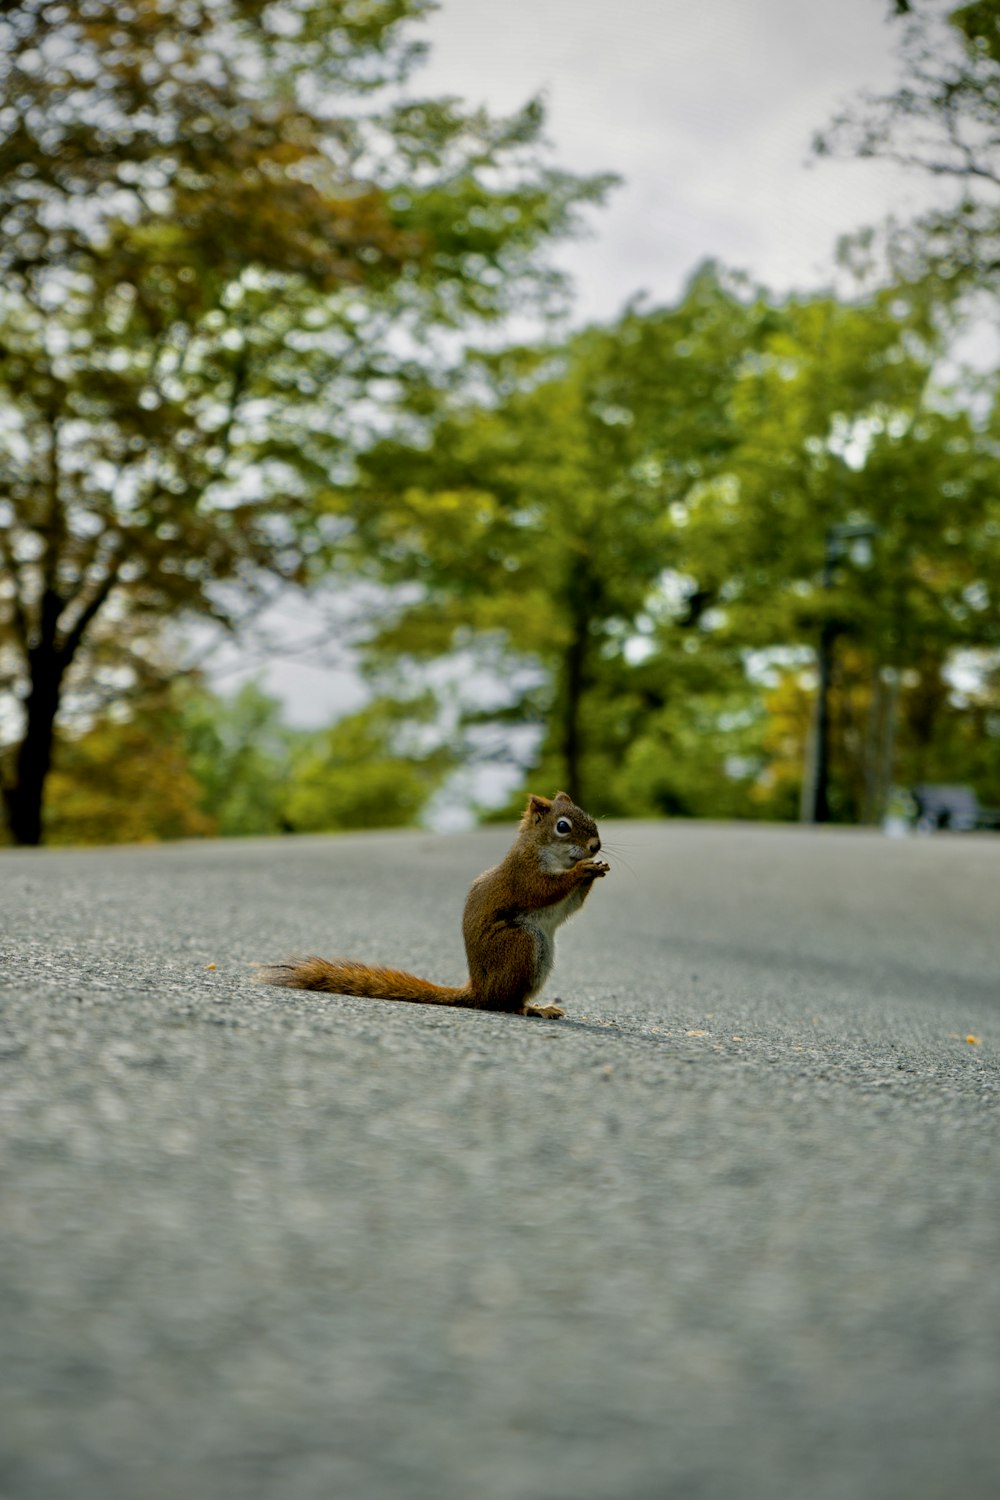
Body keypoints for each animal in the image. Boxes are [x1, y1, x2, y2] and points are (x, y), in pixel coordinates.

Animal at [262, 786, 611, 1020]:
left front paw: (597, 870)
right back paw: (532, 1009)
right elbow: (544, 890)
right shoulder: (523, 876)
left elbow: (570, 905)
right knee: (504, 1003)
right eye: (562, 826)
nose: (596, 845)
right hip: (521, 944)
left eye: (590, 818)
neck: (542, 851)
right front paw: (583, 869)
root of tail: (479, 990)